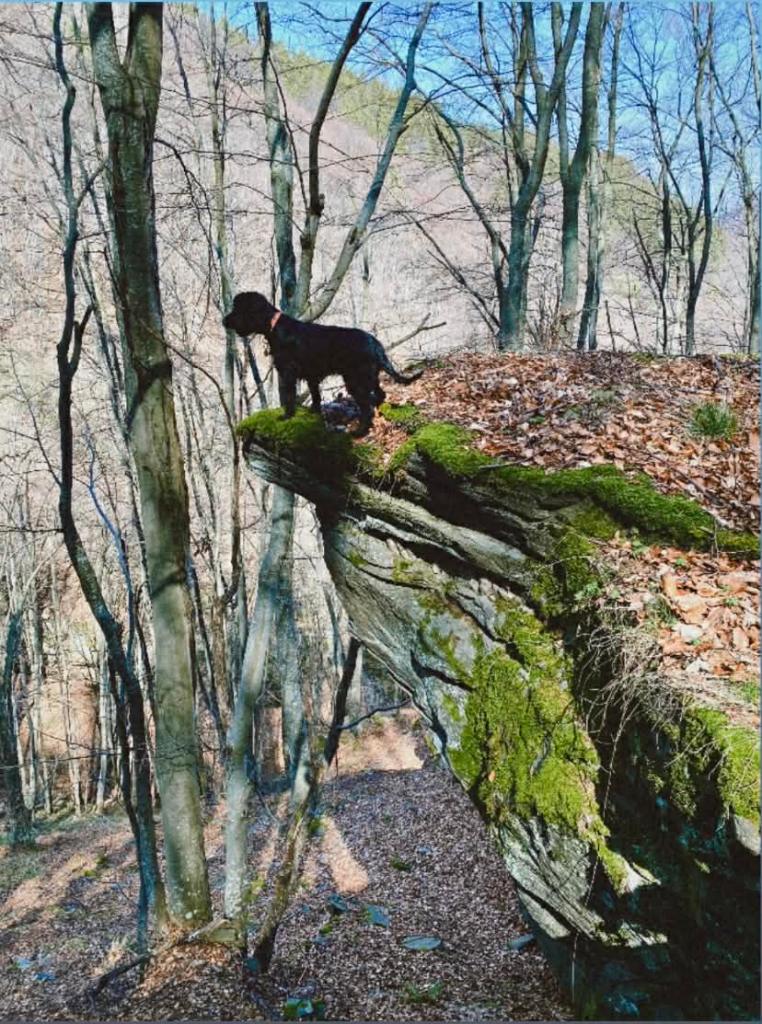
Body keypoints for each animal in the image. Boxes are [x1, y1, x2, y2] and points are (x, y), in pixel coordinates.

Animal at [223, 291, 422, 436]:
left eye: (238, 309)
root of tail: (376, 344)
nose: (224, 320)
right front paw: (314, 412)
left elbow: (289, 396)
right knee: (379, 395)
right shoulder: (311, 375)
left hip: (355, 380)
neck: (274, 326)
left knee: (367, 409)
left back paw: (359, 432)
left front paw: (287, 415)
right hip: (369, 377)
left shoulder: (288, 372)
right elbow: (315, 395)